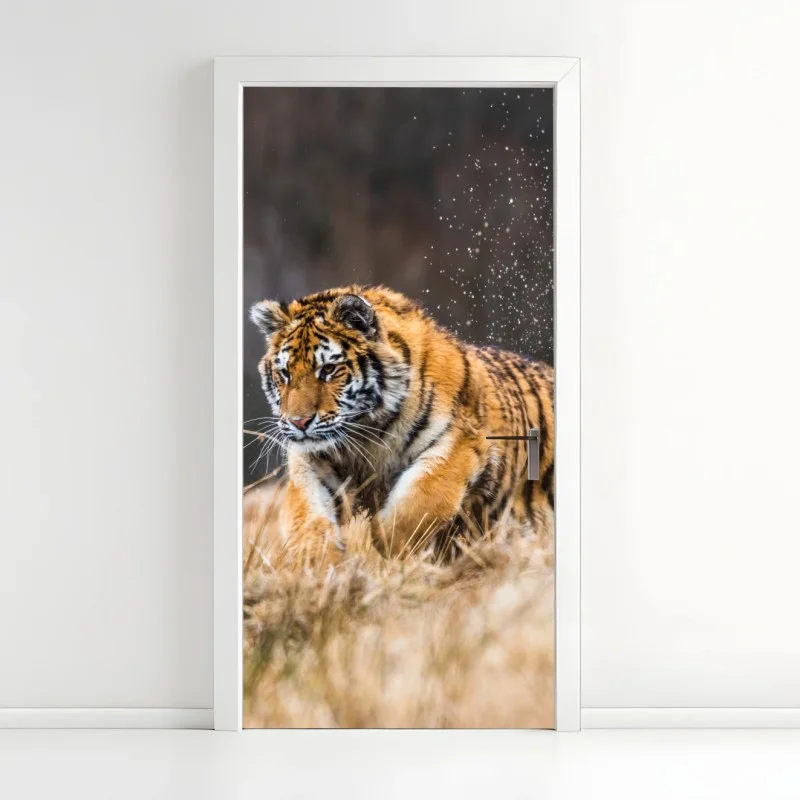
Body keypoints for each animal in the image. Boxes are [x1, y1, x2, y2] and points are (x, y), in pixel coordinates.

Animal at [250, 285, 554, 566]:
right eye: (284, 373)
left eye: (328, 370)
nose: (298, 422)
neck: (366, 432)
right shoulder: (311, 461)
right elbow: (306, 515)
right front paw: (318, 564)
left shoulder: (458, 444)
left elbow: (422, 500)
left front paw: (387, 546)